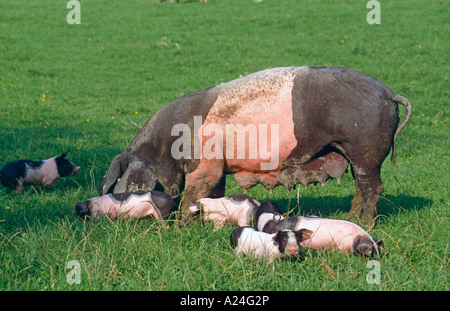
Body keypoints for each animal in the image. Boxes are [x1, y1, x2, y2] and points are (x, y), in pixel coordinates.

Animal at [98, 66, 412, 227]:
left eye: (123, 189)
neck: (166, 147)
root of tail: (387, 92)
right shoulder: (218, 167)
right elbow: (214, 193)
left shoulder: (204, 165)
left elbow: (193, 194)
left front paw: (181, 228)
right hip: (356, 154)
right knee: (360, 186)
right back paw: (349, 217)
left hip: (364, 150)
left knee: (373, 187)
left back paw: (367, 225)